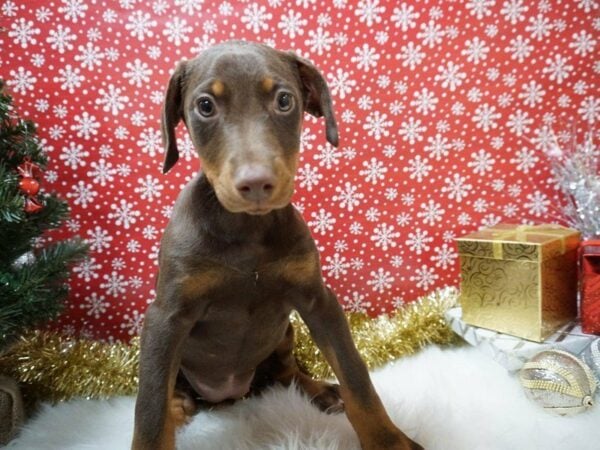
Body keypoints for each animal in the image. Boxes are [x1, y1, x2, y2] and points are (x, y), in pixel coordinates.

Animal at [132, 42, 422, 450]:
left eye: (284, 100)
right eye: (205, 105)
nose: (256, 183)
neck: (247, 230)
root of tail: (230, 397)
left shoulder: (318, 301)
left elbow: (356, 375)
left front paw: (388, 441)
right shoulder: (166, 317)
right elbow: (150, 407)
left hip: (285, 331)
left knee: (286, 374)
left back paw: (320, 391)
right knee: (170, 389)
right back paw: (179, 405)